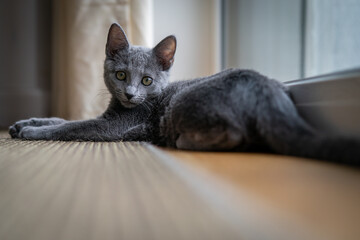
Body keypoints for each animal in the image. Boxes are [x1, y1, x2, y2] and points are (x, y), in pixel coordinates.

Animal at [8, 23, 176, 141]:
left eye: (147, 80)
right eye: (121, 75)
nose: (129, 94)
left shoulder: (117, 124)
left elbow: (72, 125)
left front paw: (30, 130)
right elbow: (62, 120)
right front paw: (23, 124)